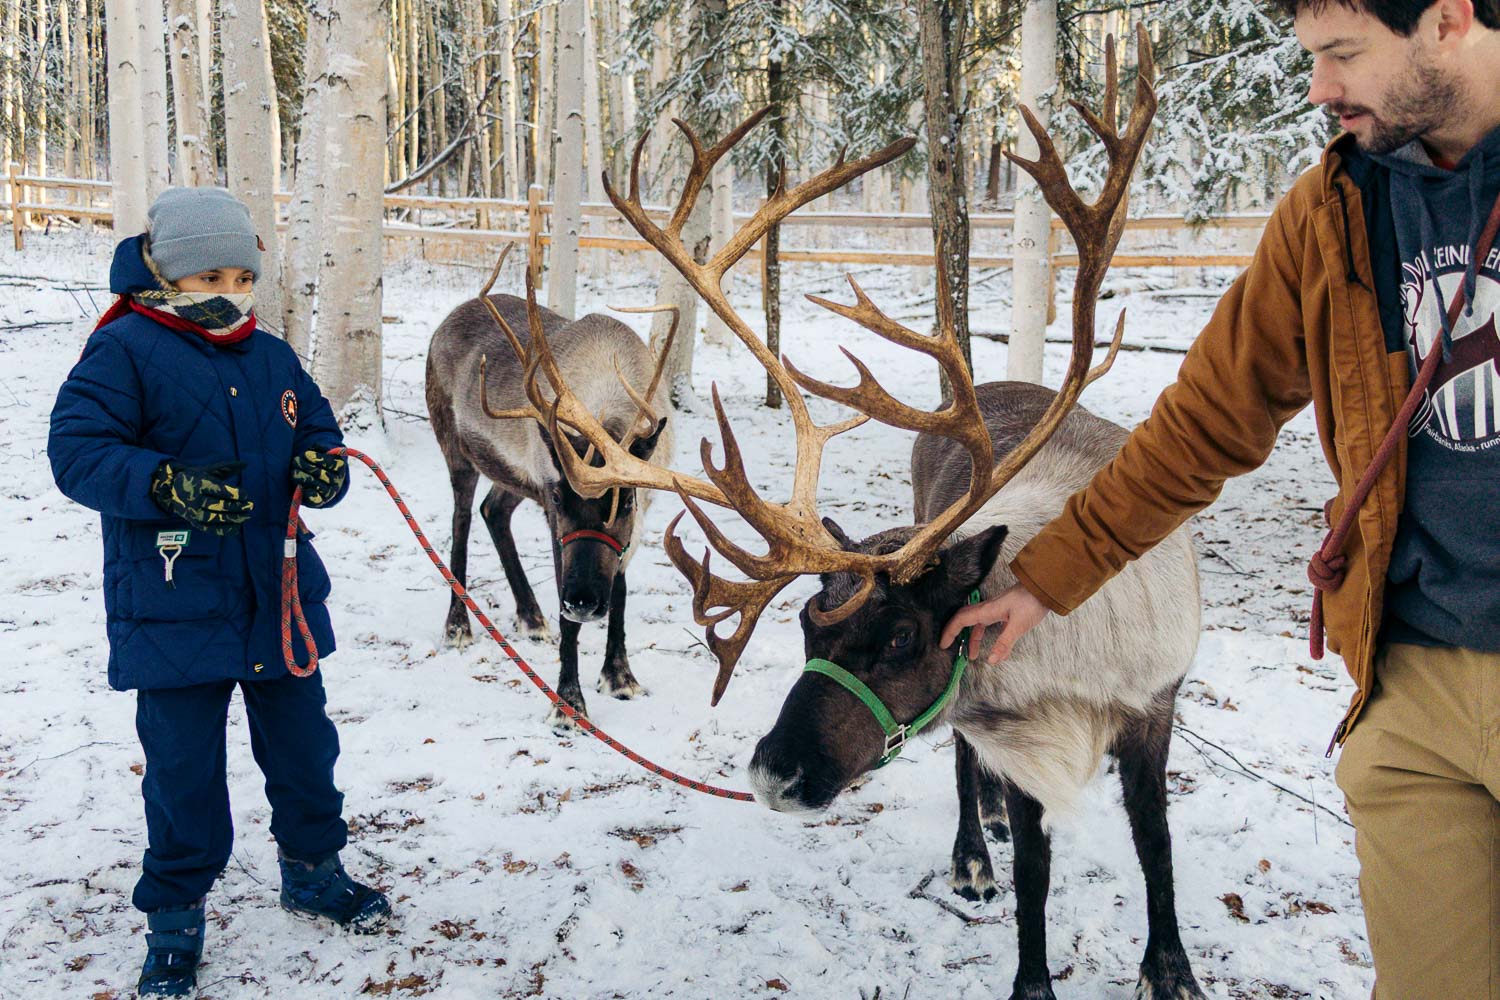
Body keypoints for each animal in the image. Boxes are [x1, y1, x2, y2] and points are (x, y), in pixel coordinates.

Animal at [424, 250, 674, 730]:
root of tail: (447, 319)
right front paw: (568, 702)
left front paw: (620, 677)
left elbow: (621, 594)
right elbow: (571, 622)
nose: (583, 602)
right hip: (456, 449)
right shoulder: (551, 507)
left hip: (513, 478)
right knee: (461, 521)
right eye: (562, 498)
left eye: (626, 502)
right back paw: (457, 625)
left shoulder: (635, 525)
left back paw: (531, 615)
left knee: (493, 512)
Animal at [515, 28, 1205, 1000]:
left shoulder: (1154, 709)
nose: (772, 773)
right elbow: (1033, 875)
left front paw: (1170, 968)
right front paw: (1026, 959)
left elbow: (1158, 846)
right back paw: (972, 851)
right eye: (805, 626)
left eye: (902, 637)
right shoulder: (1016, 748)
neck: (1058, 670)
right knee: (963, 768)